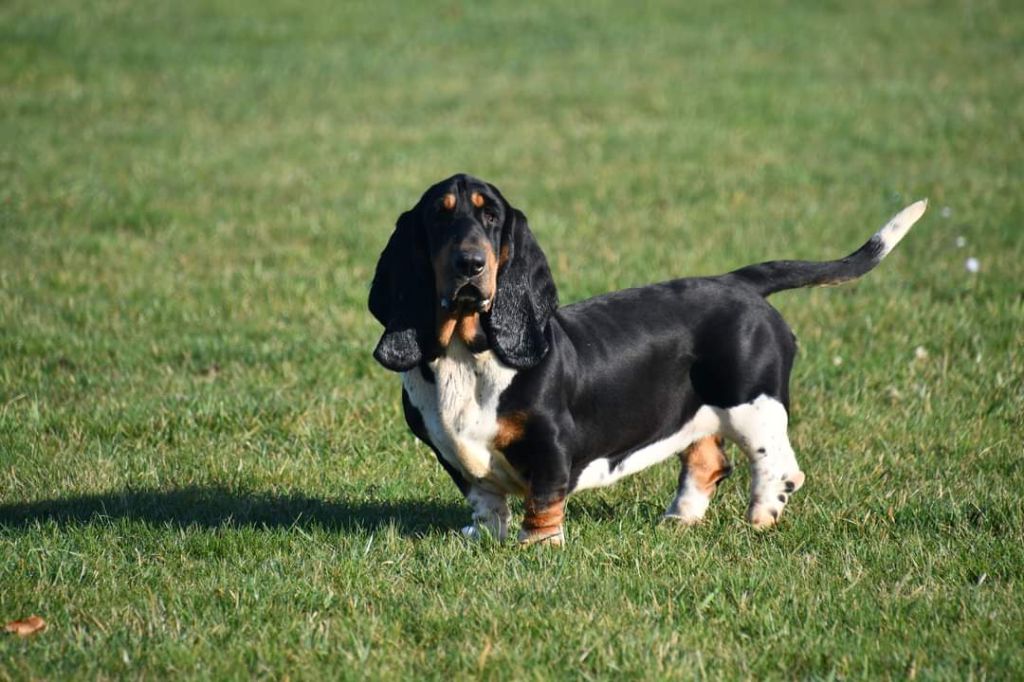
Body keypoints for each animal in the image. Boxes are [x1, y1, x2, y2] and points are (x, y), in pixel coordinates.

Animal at [370, 173, 929, 544]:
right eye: (440, 216)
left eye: (491, 217)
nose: (470, 264)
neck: (466, 352)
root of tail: (740, 282)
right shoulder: (452, 453)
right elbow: (485, 500)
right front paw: (484, 540)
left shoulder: (550, 443)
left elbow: (543, 502)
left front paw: (537, 548)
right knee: (708, 462)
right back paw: (678, 519)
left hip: (751, 403)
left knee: (777, 464)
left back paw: (762, 515)